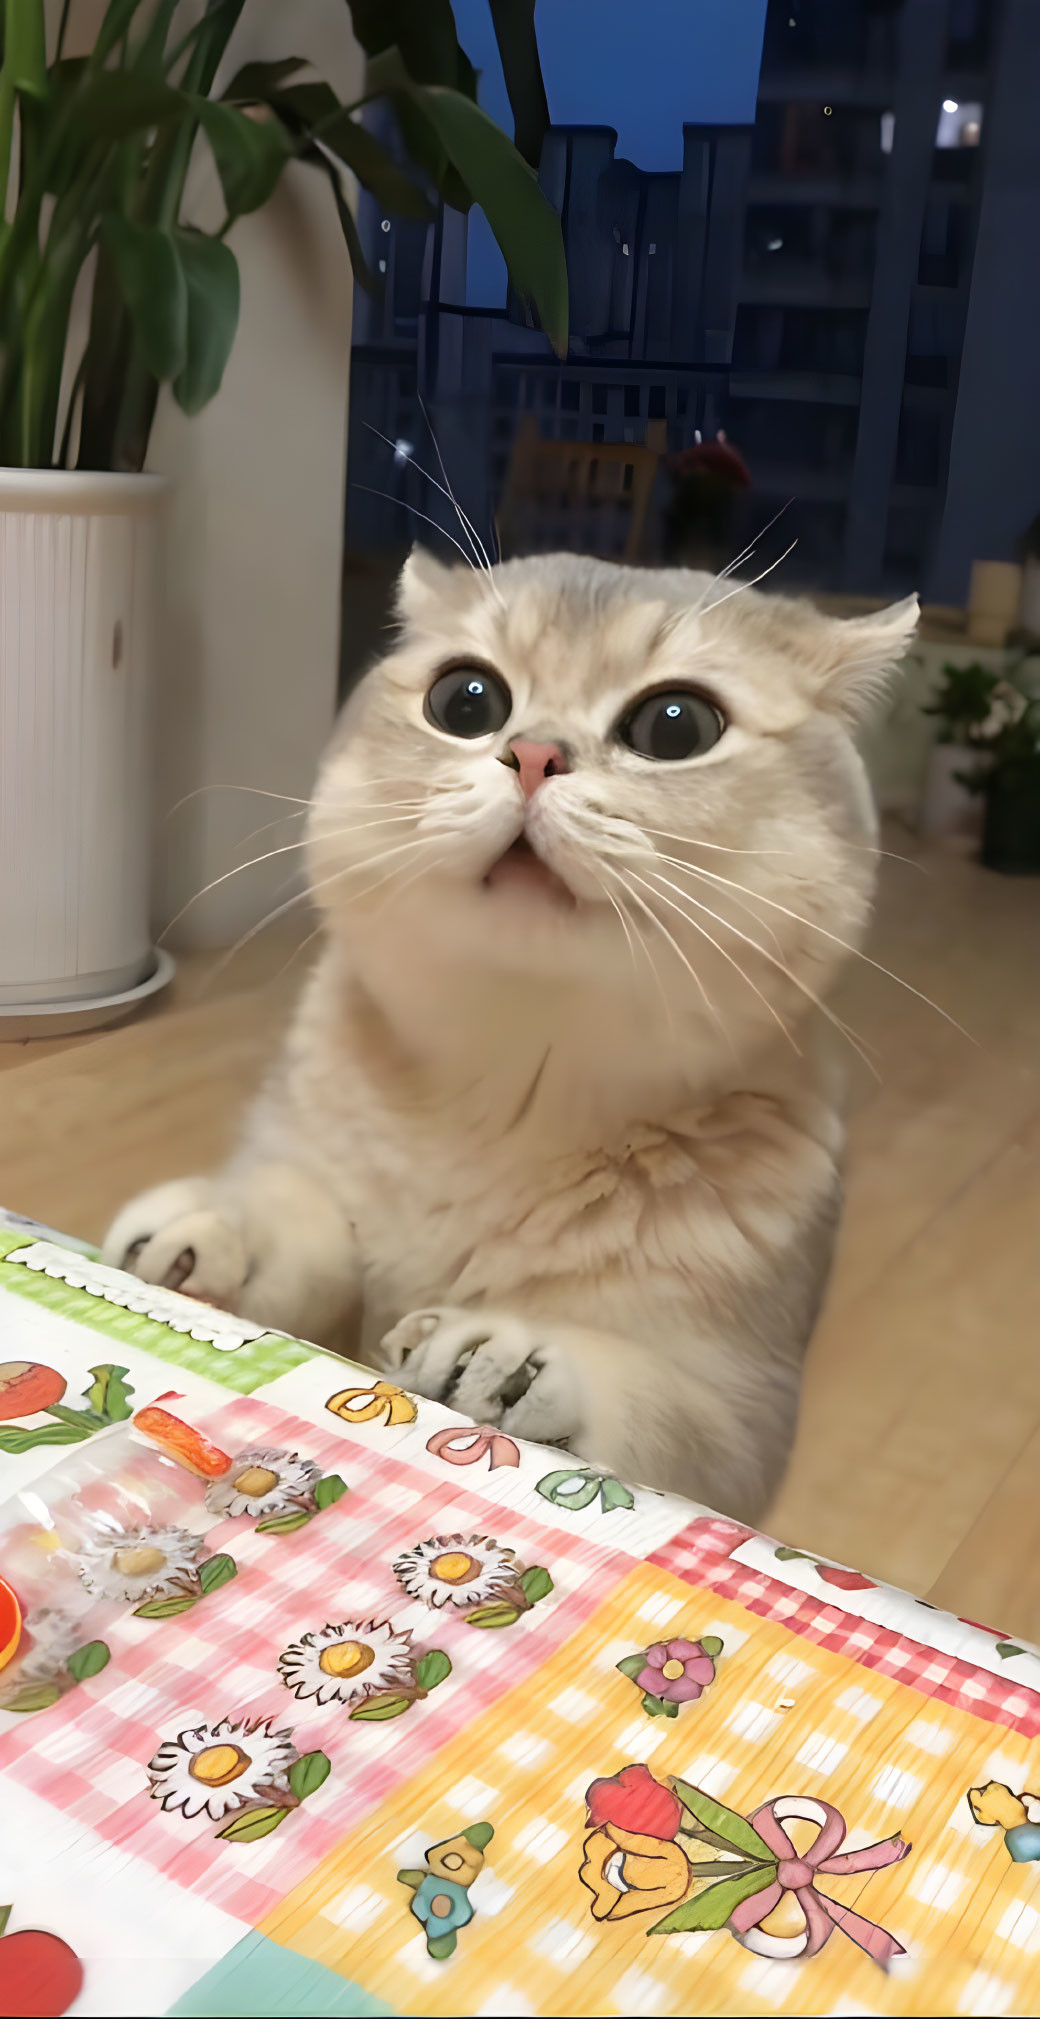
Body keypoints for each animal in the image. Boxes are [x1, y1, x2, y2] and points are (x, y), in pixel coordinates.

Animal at [106, 545, 920, 1518]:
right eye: (465, 700)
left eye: (676, 725)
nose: (534, 754)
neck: (506, 1093)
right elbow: (314, 1231)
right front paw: (229, 1223)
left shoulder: (747, 1418)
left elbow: (666, 1415)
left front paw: (517, 1358)